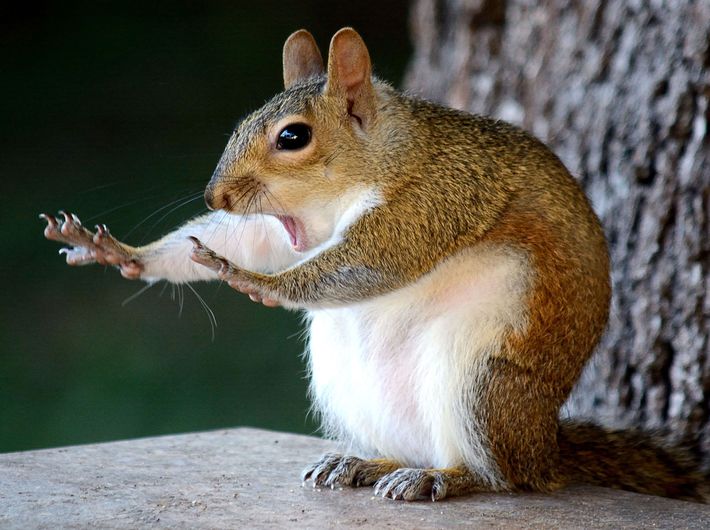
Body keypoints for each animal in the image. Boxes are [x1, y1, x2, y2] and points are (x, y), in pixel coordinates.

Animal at [40, 28, 707, 502]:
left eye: (293, 137)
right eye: (243, 122)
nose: (217, 197)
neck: (382, 158)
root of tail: (545, 448)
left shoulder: (437, 198)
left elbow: (371, 262)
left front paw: (256, 281)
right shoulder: (288, 227)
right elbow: (251, 239)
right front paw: (122, 252)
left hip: (483, 383)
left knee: (504, 477)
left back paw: (446, 478)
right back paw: (364, 462)